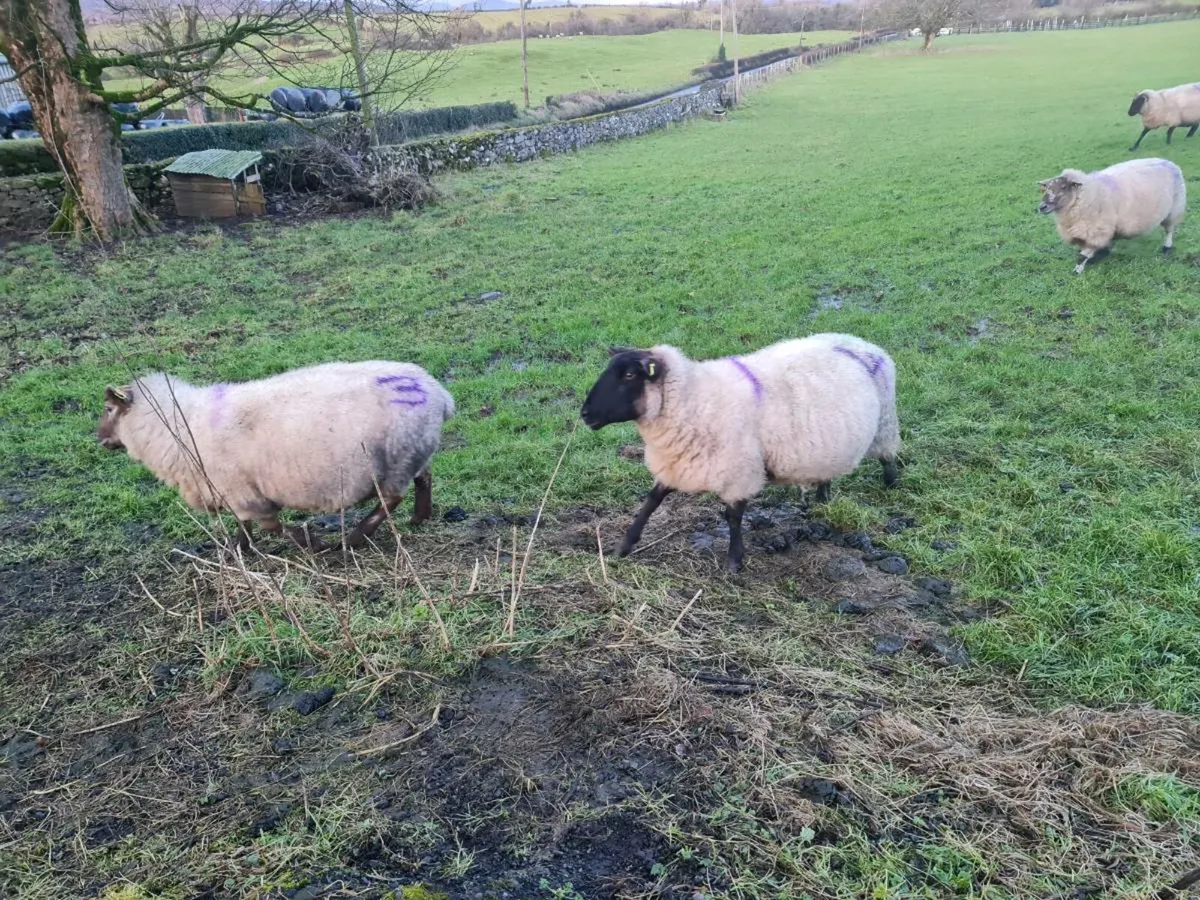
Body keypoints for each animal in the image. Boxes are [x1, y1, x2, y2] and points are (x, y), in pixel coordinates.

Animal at [96, 361, 455, 552]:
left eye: (109, 409)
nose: (99, 440)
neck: (179, 425)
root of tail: (438, 393)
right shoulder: (235, 492)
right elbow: (245, 525)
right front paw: (239, 549)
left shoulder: (244, 492)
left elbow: (271, 526)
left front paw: (310, 541)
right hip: (411, 451)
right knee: (423, 478)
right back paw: (419, 517)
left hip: (394, 458)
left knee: (391, 499)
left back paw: (354, 537)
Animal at [580, 333, 900, 573]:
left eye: (629, 375)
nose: (585, 414)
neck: (694, 399)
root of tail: (865, 343)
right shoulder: (678, 463)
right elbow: (651, 502)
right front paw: (623, 546)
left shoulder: (740, 471)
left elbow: (733, 517)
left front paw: (734, 561)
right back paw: (822, 498)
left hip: (885, 422)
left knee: (888, 456)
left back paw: (892, 484)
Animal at [1037, 158, 1186, 274]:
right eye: (1046, 188)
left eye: (1063, 187)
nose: (1041, 207)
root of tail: (1170, 162)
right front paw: (1101, 254)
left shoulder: (1096, 231)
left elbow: (1082, 256)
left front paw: (1077, 270)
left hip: (1174, 210)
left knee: (1169, 231)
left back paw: (1167, 248)